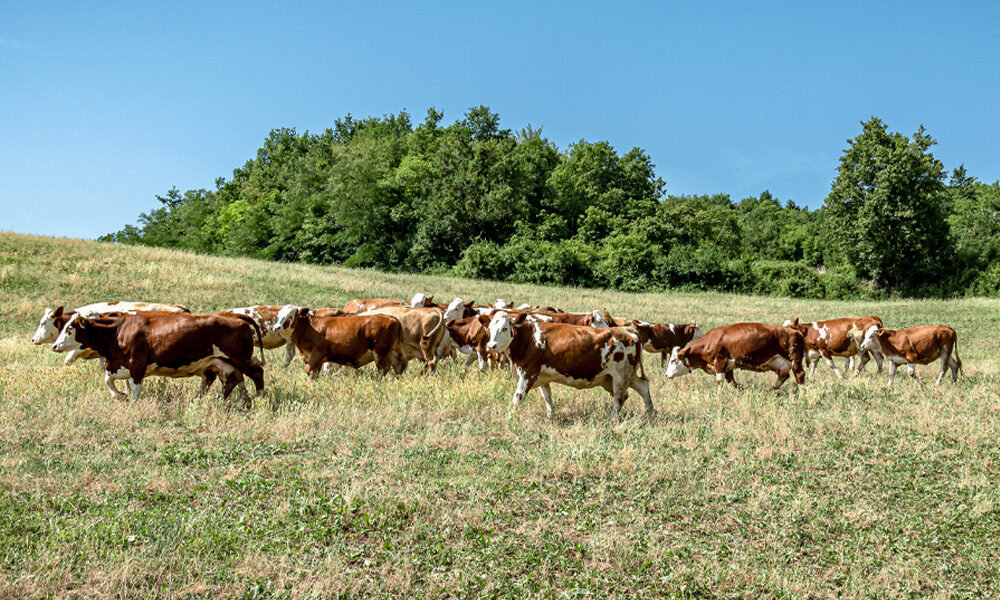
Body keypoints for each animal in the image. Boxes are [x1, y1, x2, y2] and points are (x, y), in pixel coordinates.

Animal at [51, 312, 264, 400]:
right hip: (219, 362)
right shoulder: (117, 364)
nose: (55, 345)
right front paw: (119, 395)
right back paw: (213, 399)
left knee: (256, 373)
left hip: (239, 358)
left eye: (70, 329)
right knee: (228, 380)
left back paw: (260, 398)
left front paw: (132, 403)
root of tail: (236, 317)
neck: (118, 331)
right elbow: (108, 380)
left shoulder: (137, 364)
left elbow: (135, 389)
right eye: (62, 326)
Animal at [270, 308, 406, 378]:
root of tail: (392, 318)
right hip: (392, 353)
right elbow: (313, 374)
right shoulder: (316, 359)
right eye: (278, 315)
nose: (276, 327)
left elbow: (308, 370)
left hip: (380, 353)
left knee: (383, 370)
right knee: (398, 368)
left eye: (290, 316)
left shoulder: (317, 354)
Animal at [482, 312, 648, 420]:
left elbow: (518, 397)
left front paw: (509, 418)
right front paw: (551, 416)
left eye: (504, 328)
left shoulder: (528, 374)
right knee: (644, 387)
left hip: (620, 376)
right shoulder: (542, 376)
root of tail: (628, 331)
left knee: (620, 398)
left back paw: (612, 419)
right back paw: (650, 414)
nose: (491, 346)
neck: (529, 339)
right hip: (624, 376)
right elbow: (547, 397)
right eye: (489, 328)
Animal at [668, 324, 808, 390]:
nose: (666, 374)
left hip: (795, 359)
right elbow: (732, 381)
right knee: (783, 375)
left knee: (800, 374)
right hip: (781, 362)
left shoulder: (720, 360)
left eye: (673, 360)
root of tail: (793, 329)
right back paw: (772, 389)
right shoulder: (728, 366)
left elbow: (720, 380)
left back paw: (801, 392)